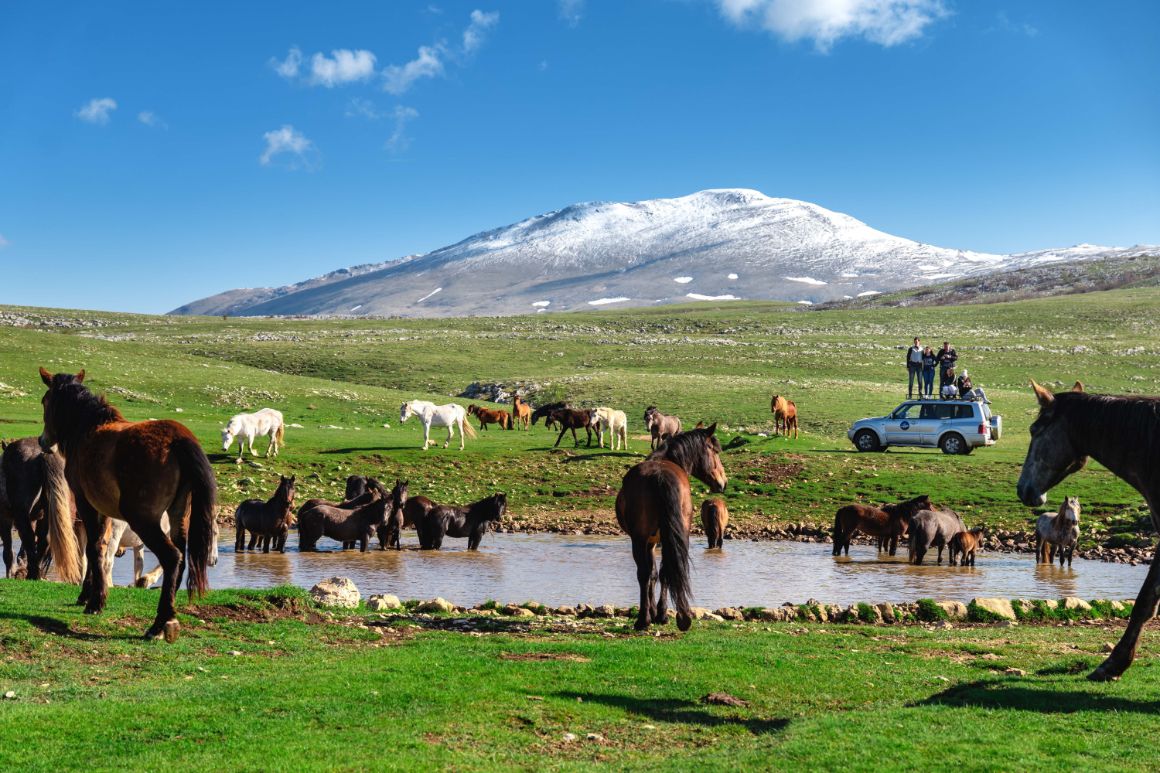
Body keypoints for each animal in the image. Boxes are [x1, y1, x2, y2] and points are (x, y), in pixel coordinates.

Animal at [37, 366, 218, 636]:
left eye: (44, 400)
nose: (42, 441)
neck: (88, 429)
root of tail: (179, 440)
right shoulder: (103, 510)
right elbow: (98, 548)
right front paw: (88, 595)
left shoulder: (86, 503)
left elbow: (94, 548)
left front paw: (95, 601)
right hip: (178, 514)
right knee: (181, 558)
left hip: (143, 519)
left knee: (172, 557)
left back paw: (160, 622)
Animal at [617, 424, 723, 631]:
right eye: (715, 451)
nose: (723, 482)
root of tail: (660, 475)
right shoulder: (656, 541)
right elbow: (657, 574)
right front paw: (658, 613)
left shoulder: (649, 542)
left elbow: (650, 574)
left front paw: (651, 613)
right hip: (676, 536)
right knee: (668, 570)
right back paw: (673, 617)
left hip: (639, 539)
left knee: (644, 574)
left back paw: (643, 619)